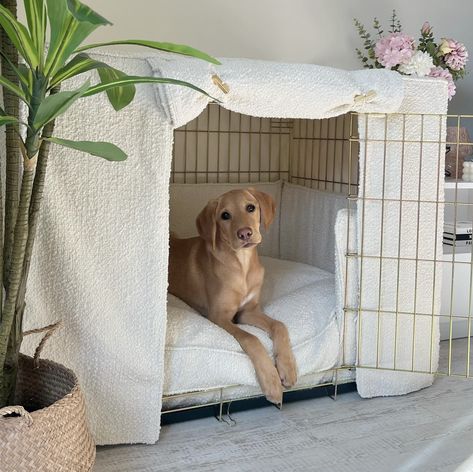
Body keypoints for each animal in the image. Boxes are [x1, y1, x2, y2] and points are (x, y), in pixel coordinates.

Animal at [169, 189, 296, 406]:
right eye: (225, 215)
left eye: (250, 207)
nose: (245, 233)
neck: (241, 263)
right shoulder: (219, 316)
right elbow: (250, 337)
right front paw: (271, 380)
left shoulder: (248, 311)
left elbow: (279, 325)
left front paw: (287, 367)